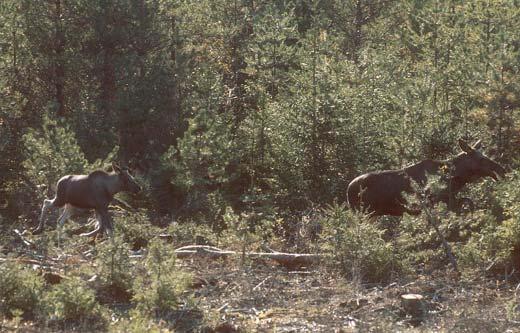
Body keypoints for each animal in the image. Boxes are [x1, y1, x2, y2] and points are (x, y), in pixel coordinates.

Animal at [348, 139, 506, 217]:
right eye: (481, 159)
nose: (501, 169)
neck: (456, 178)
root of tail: (348, 189)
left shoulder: (449, 199)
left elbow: (467, 201)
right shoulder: (438, 201)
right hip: (365, 213)